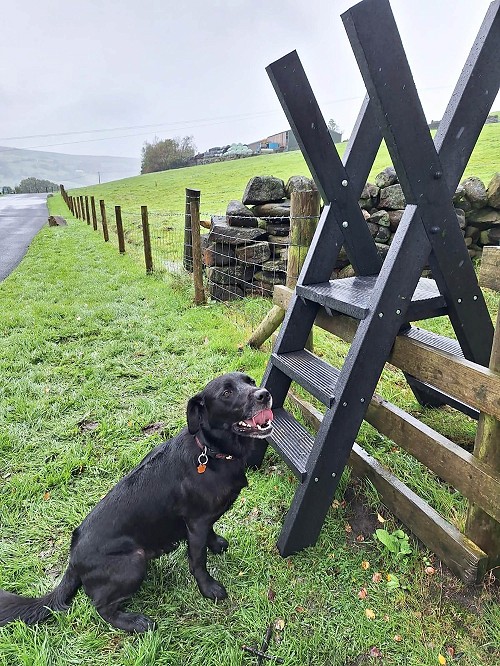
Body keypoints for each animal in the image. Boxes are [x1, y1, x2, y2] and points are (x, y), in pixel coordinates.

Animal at [0, 370, 272, 632]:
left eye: (250, 381)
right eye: (226, 393)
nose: (264, 394)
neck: (210, 451)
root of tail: (72, 561)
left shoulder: (204, 520)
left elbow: (211, 532)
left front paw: (216, 544)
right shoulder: (196, 524)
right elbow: (198, 560)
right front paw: (209, 588)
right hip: (134, 561)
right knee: (101, 607)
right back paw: (136, 623)